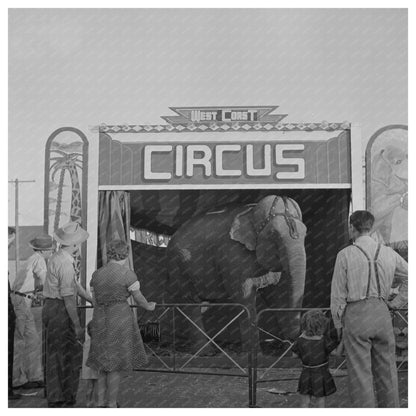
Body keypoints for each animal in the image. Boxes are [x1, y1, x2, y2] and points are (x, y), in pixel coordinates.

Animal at [164, 195, 308, 352]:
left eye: (305, 234)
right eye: (273, 234)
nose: (294, 342)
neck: (251, 211)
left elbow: (277, 297)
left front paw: (287, 352)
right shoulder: (232, 254)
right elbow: (244, 297)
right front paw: (255, 354)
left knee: (202, 303)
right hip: (178, 264)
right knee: (191, 302)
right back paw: (205, 352)